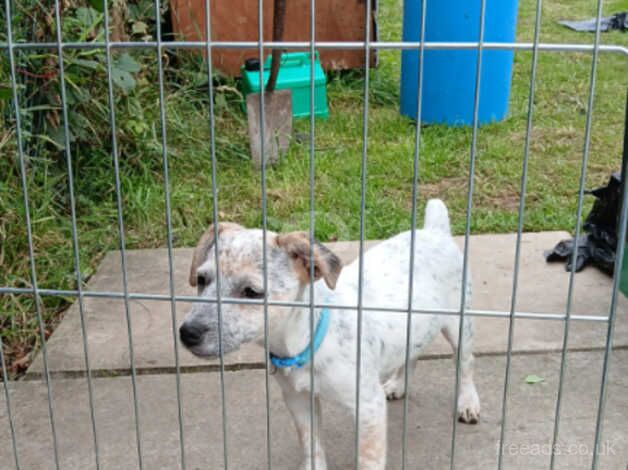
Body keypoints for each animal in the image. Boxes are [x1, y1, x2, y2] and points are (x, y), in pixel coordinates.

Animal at [180, 199, 480, 470]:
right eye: (202, 280)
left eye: (252, 292)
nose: (187, 333)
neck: (308, 337)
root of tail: (435, 231)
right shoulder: (299, 401)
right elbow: (312, 447)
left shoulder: (368, 407)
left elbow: (368, 461)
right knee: (412, 354)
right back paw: (398, 384)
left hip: (459, 326)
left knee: (465, 364)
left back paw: (468, 402)